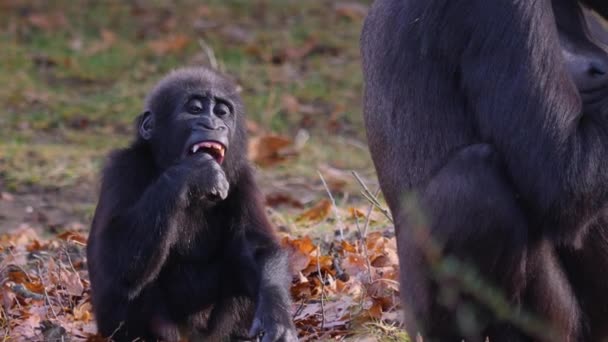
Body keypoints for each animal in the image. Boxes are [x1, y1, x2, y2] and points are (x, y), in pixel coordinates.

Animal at [86, 67, 300, 342]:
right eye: (195, 109)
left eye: (222, 112)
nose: (213, 124)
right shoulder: (122, 167)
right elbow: (113, 255)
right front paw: (194, 171)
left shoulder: (244, 177)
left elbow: (259, 250)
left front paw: (275, 314)